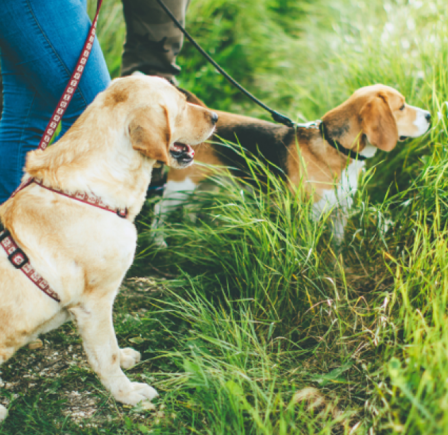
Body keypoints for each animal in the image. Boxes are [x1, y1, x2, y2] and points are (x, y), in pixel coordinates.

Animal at [0, 76, 217, 422]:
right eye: (180, 104)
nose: (216, 118)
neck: (90, 192)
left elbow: (110, 350)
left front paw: (125, 359)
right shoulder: (95, 304)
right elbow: (107, 356)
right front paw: (127, 394)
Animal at [153, 85, 430, 245]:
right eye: (401, 107)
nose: (429, 115)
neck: (336, 147)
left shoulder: (340, 212)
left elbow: (337, 247)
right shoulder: (306, 217)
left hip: (206, 185)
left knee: (191, 207)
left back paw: (191, 229)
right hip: (181, 186)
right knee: (158, 210)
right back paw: (159, 241)